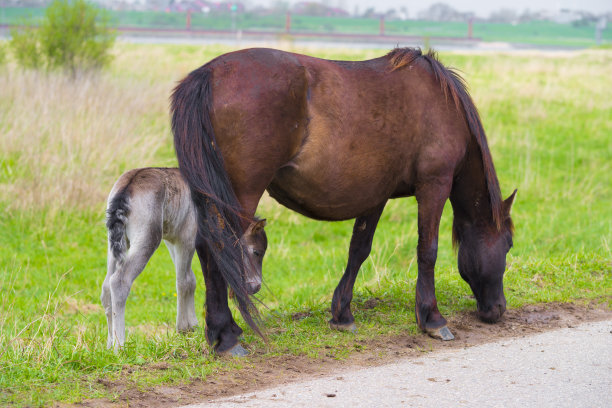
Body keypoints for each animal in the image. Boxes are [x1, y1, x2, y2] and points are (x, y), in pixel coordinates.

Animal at [170, 47, 512, 354]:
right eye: (508, 244)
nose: (498, 309)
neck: (442, 104)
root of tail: (209, 74)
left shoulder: (376, 195)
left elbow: (358, 249)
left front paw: (342, 314)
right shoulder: (434, 185)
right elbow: (427, 250)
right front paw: (432, 318)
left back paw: (220, 333)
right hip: (238, 197)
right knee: (217, 249)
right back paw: (226, 336)